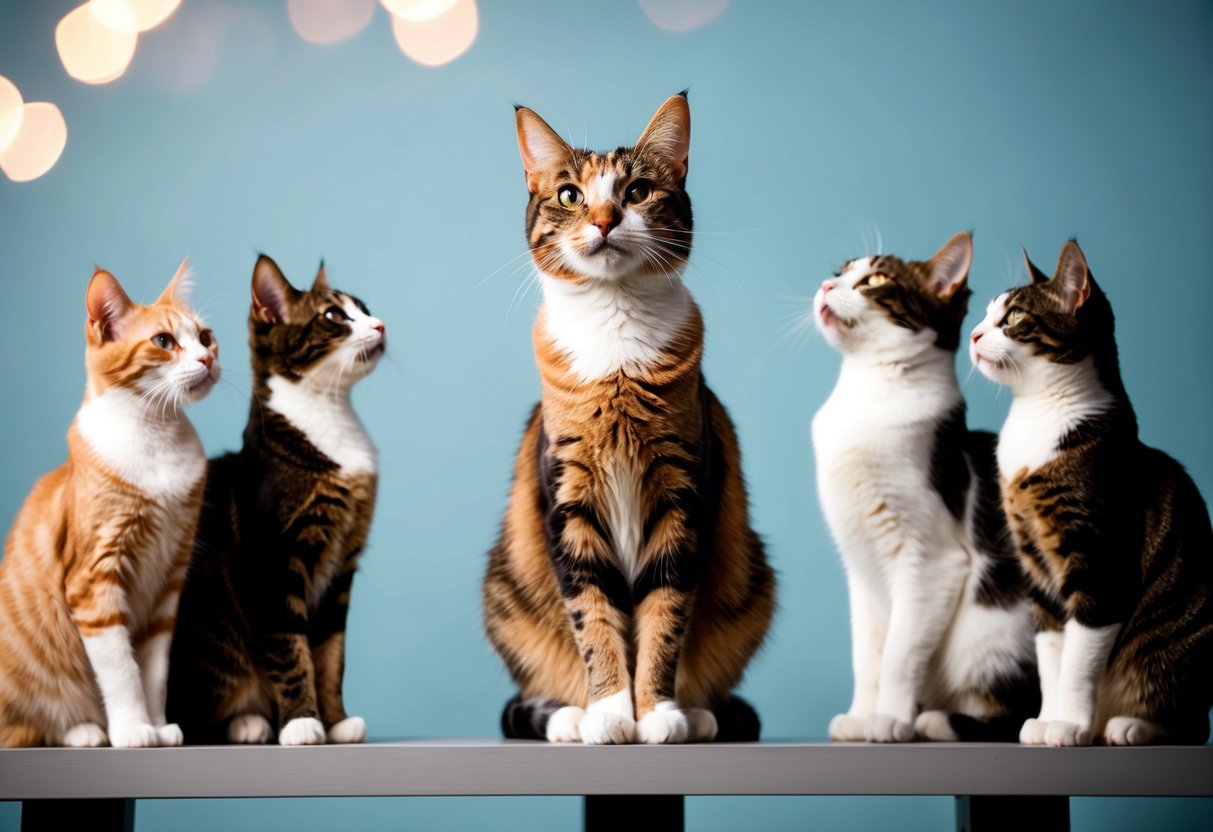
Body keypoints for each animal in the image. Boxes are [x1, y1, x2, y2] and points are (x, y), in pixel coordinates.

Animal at [0, 260, 220, 751]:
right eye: (164, 341)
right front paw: (134, 729)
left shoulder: (168, 581)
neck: (156, 434)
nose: (208, 359)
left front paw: (158, 725)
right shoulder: (94, 578)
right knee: (20, 728)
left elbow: (154, 671)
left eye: (205, 336)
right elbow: (121, 668)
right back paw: (83, 731)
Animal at [166, 255, 383, 751]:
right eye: (334, 316)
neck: (329, 417)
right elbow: (291, 648)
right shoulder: (273, 559)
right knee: (188, 717)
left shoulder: (342, 566)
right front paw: (302, 722)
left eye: (364, 309)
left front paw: (336, 719)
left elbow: (331, 654)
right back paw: (248, 722)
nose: (380, 324)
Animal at [480, 92, 771, 751]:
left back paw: (699, 716)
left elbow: (665, 613)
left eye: (637, 191)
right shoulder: (568, 499)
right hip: (506, 589)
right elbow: (593, 614)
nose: (606, 219)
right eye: (569, 194)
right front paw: (612, 712)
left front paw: (656, 713)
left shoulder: (683, 493)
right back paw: (571, 716)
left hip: (753, 583)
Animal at [810, 232, 1038, 742]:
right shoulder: (860, 567)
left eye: (875, 279)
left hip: (997, 637)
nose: (825, 285)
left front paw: (891, 719)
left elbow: (898, 654)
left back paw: (935, 720)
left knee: (1017, 714)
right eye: (838, 272)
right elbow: (868, 656)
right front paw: (861, 717)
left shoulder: (933, 562)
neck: (868, 391)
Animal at [965, 241, 1213, 751]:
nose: (975, 335)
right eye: (984, 314)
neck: (1037, 417)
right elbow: (1051, 659)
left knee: (1191, 722)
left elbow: (1080, 658)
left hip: (1183, 643)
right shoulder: (1037, 568)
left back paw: (1127, 726)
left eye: (1012, 317)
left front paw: (1070, 726)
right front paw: (1047, 720)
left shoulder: (1098, 560)